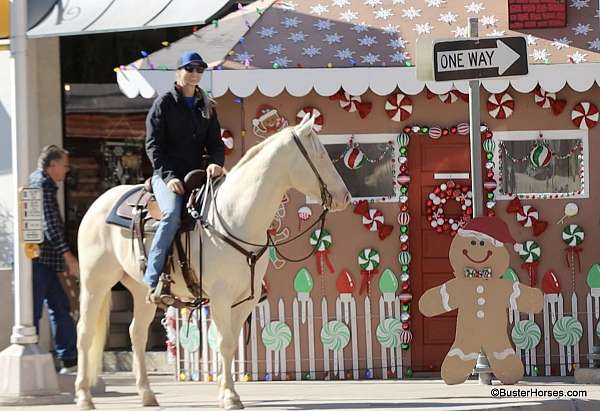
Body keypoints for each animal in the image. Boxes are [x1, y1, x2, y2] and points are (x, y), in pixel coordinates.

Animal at [74, 114, 352, 410]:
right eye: (321, 155)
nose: (345, 197)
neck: (234, 217)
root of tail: (98, 203)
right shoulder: (220, 296)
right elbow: (225, 342)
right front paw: (229, 396)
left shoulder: (246, 299)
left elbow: (229, 344)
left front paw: (225, 391)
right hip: (95, 283)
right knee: (85, 332)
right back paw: (84, 396)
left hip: (140, 289)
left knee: (136, 333)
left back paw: (147, 395)